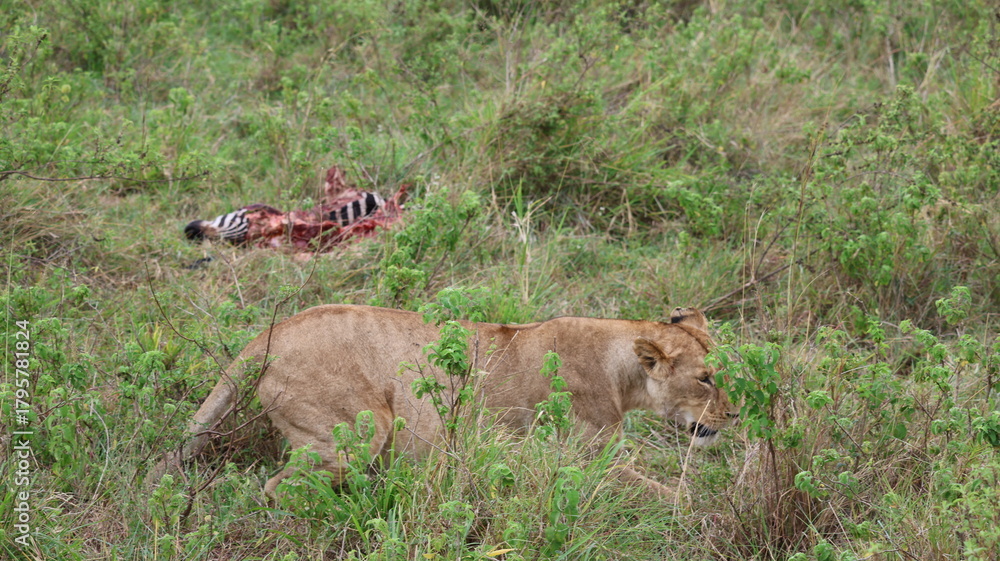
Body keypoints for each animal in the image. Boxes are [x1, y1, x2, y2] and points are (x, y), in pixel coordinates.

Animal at [152, 304, 737, 498]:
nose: (734, 416)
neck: (622, 371)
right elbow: (674, 495)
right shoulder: (585, 462)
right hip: (364, 428)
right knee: (277, 489)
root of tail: (271, 332)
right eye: (706, 379)